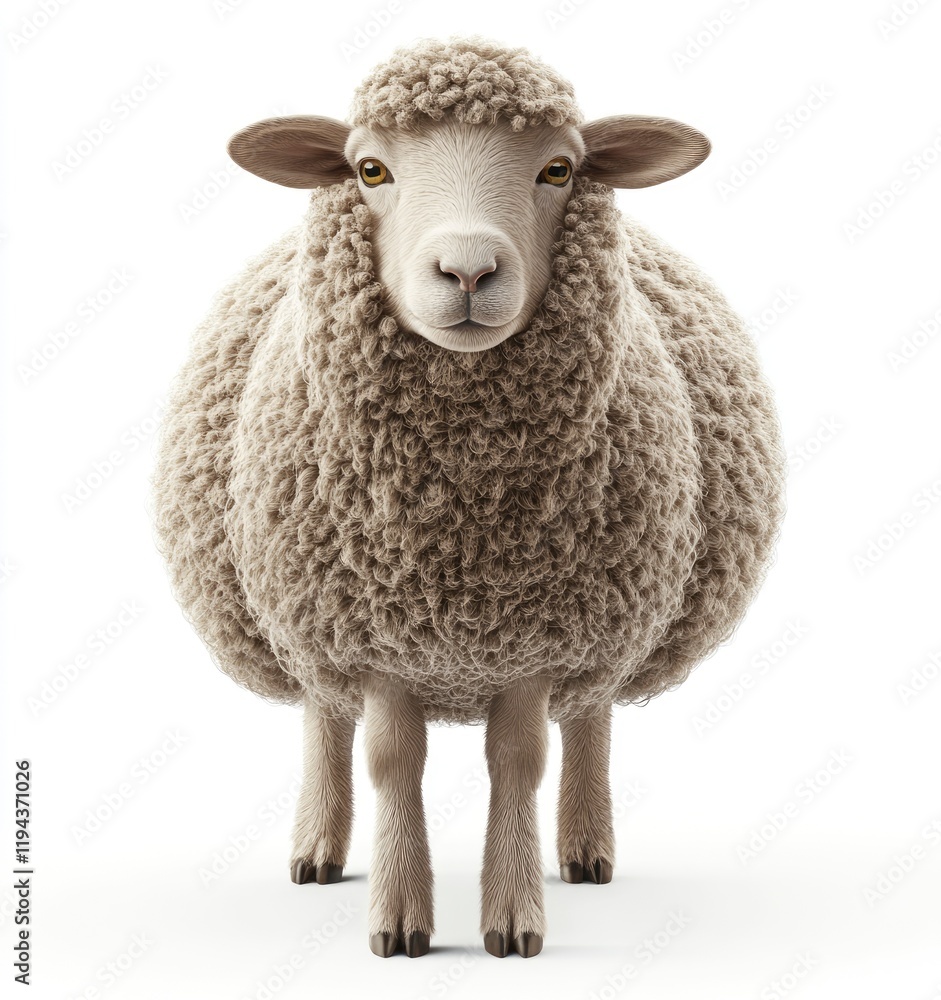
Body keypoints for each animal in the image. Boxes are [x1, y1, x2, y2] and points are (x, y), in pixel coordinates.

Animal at [152, 36, 786, 959]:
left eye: (559, 168)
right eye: (369, 168)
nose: (466, 269)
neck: (461, 523)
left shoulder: (537, 638)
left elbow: (518, 760)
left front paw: (514, 918)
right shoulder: (372, 633)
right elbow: (391, 760)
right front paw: (398, 919)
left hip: (609, 616)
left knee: (590, 718)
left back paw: (586, 849)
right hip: (300, 615)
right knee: (322, 718)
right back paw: (316, 848)